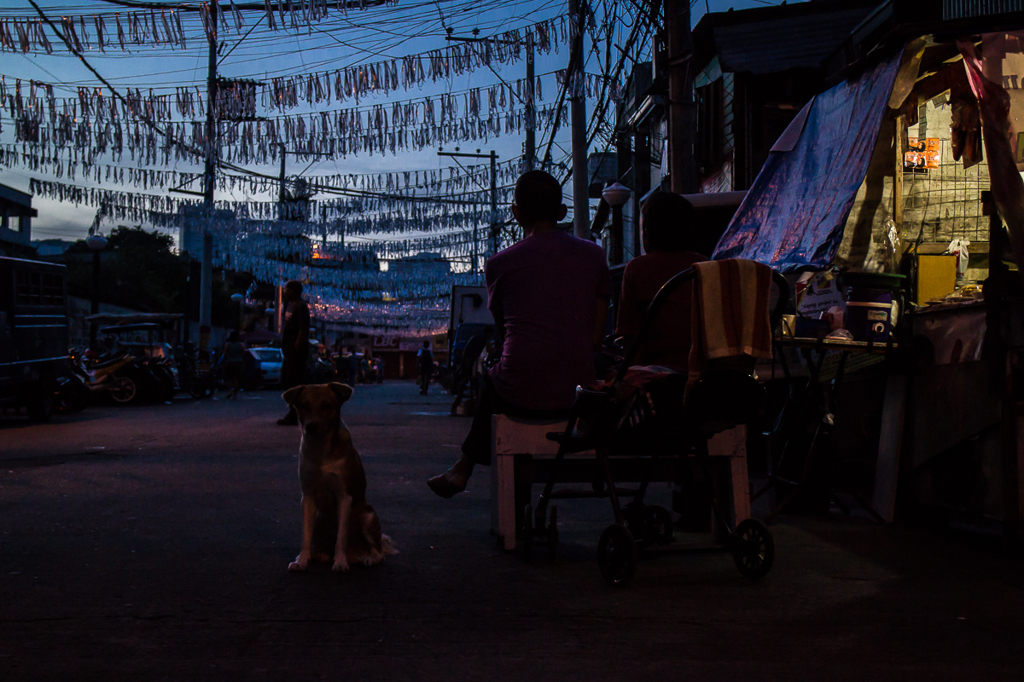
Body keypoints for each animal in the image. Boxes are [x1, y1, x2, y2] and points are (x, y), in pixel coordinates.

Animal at [282, 382, 393, 569]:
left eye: (326, 405)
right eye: (304, 404)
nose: (311, 426)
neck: (320, 450)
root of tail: (355, 553)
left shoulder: (344, 496)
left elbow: (341, 536)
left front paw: (340, 562)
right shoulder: (308, 496)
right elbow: (306, 536)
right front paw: (302, 561)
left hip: (367, 516)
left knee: (378, 552)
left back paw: (368, 558)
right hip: (320, 517)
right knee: (320, 546)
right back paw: (316, 556)